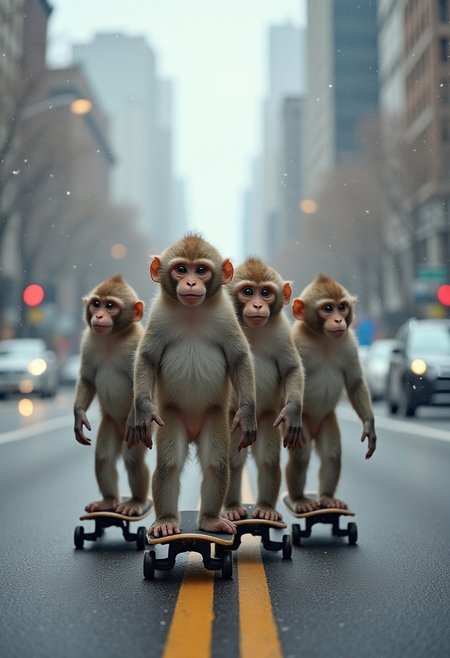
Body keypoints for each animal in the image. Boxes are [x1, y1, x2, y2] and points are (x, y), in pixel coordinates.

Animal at [73, 274, 150, 516]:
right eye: (96, 303)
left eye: (110, 306)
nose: (98, 315)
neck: (112, 338)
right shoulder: (88, 342)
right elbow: (87, 378)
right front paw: (79, 416)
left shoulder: (137, 344)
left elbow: (142, 385)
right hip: (110, 423)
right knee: (103, 458)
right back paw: (107, 501)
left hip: (139, 432)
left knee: (132, 459)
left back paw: (136, 502)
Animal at [125, 233, 257, 538]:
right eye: (181, 269)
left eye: (201, 270)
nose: (191, 283)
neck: (192, 313)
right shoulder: (158, 316)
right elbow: (147, 358)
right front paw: (143, 412)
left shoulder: (227, 316)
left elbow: (239, 358)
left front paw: (247, 415)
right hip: (173, 418)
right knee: (169, 465)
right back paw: (166, 521)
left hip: (215, 418)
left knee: (215, 465)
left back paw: (210, 519)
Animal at [223, 257, 305, 522]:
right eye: (248, 292)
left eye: (266, 293)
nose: (258, 305)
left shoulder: (282, 331)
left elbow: (291, 368)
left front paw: (293, 413)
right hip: (233, 422)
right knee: (233, 461)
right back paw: (232, 507)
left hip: (268, 419)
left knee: (268, 460)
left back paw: (266, 508)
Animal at [285, 273, 377, 513]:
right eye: (327, 308)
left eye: (341, 307)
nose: (338, 320)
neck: (323, 339)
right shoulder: (295, 341)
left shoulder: (350, 342)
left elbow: (355, 382)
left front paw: (369, 425)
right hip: (304, 426)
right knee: (300, 458)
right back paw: (299, 499)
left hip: (327, 420)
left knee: (332, 455)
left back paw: (327, 498)